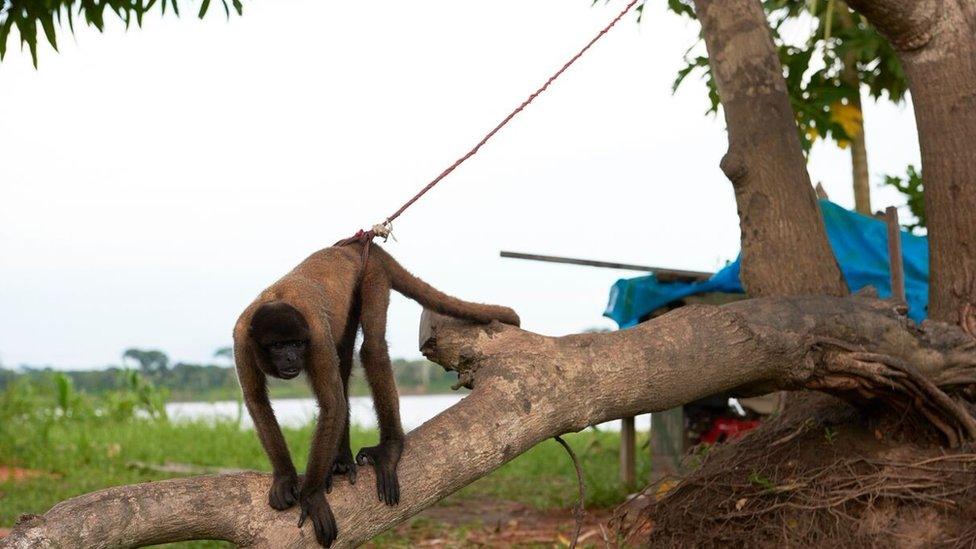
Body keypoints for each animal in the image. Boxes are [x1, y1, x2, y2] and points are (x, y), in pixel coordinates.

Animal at [232, 240, 520, 544]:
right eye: (278, 346)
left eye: (297, 343)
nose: (291, 358)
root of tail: (356, 243)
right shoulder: (241, 340)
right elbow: (257, 400)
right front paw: (285, 478)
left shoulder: (316, 337)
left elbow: (332, 403)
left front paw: (311, 496)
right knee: (344, 361)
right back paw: (341, 460)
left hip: (372, 271)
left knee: (372, 349)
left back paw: (389, 448)